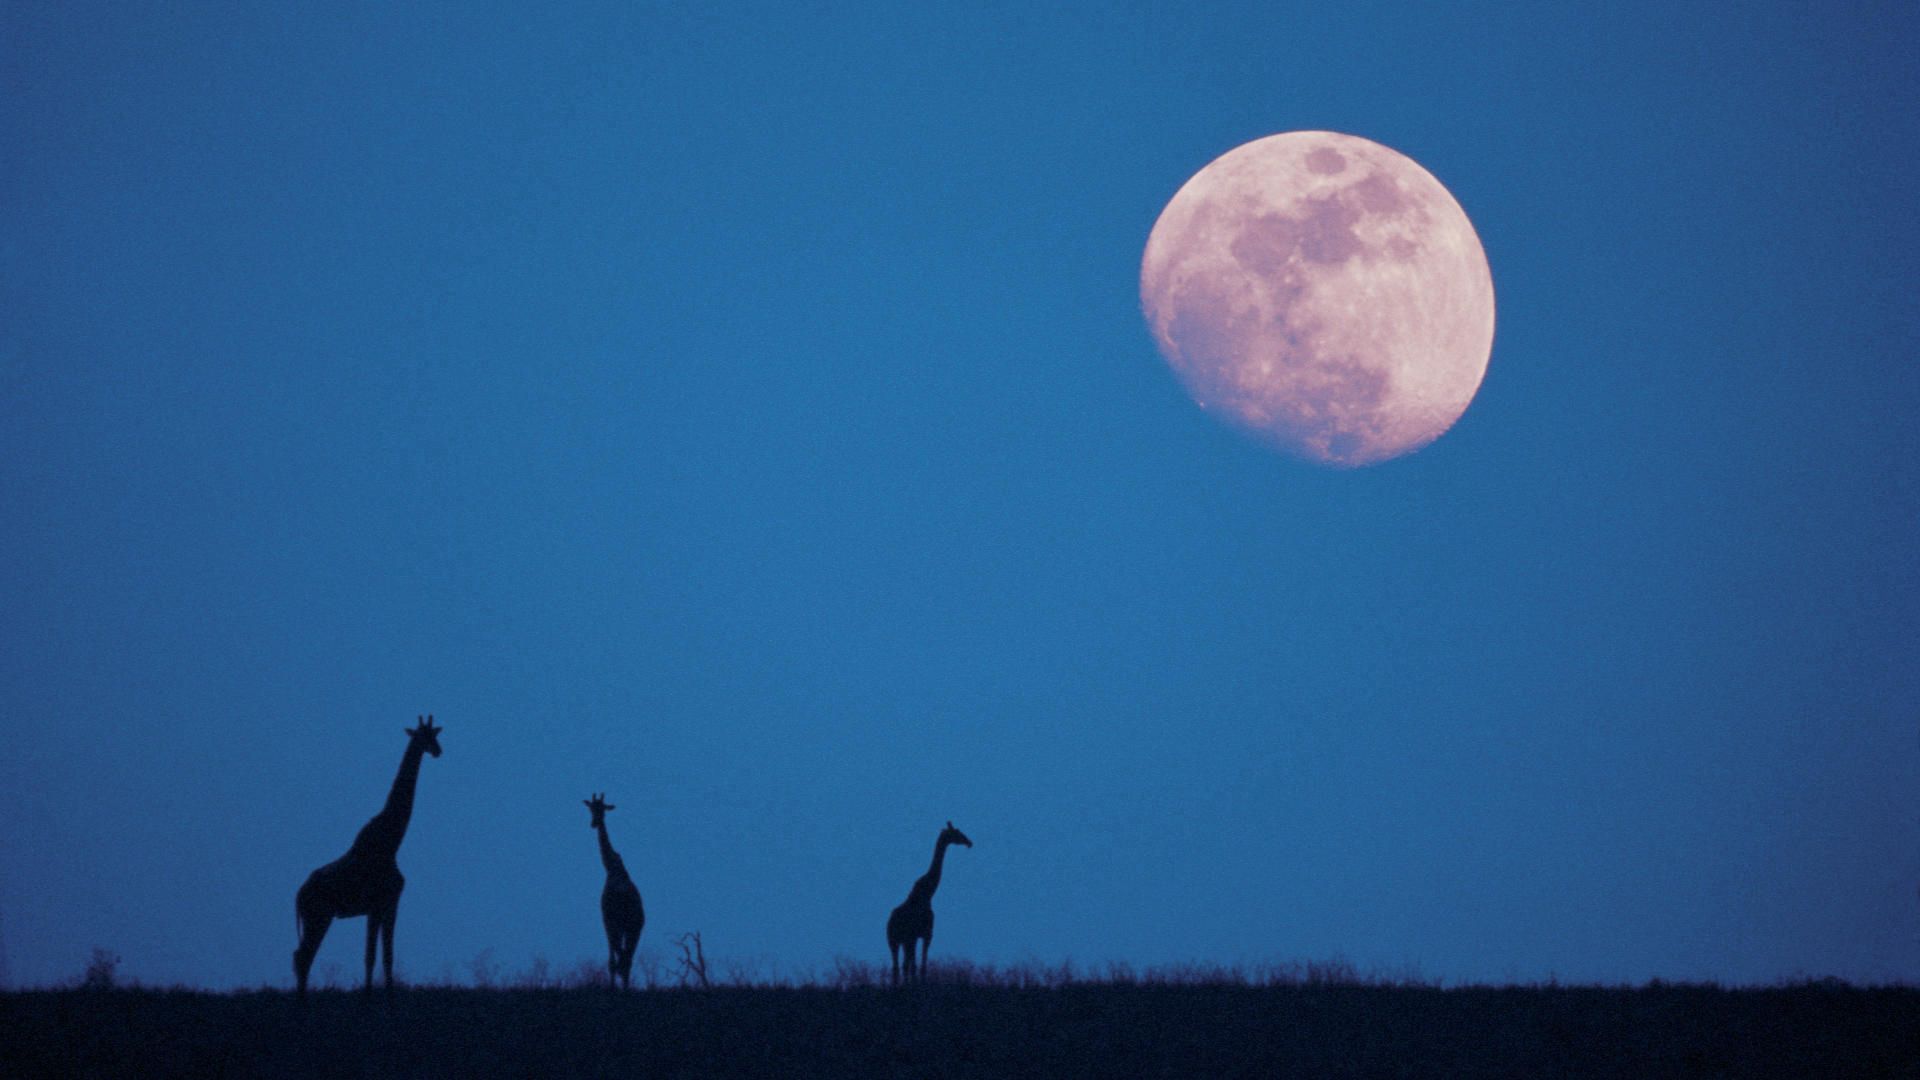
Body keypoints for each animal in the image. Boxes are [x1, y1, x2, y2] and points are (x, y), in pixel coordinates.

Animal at [291, 714, 445, 991]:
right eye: (423, 736)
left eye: (435, 735)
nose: (438, 751)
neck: (392, 843)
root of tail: (299, 895)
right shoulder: (385, 903)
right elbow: (379, 955)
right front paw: (378, 992)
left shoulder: (379, 907)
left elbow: (377, 955)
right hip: (318, 917)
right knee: (304, 956)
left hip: (317, 918)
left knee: (300, 956)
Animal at [583, 791, 645, 983]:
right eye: (591, 809)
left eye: (602, 809)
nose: (594, 823)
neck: (611, 867)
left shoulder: (606, 921)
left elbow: (611, 962)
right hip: (635, 927)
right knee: (627, 960)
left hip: (619, 926)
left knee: (621, 959)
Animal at [887, 814, 975, 983]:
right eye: (956, 832)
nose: (969, 842)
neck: (927, 895)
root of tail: (890, 921)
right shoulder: (921, 935)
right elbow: (918, 966)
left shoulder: (920, 936)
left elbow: (918, 966)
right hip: (899, 940)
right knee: (902, 966)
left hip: (897, 941)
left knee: (898, 967)